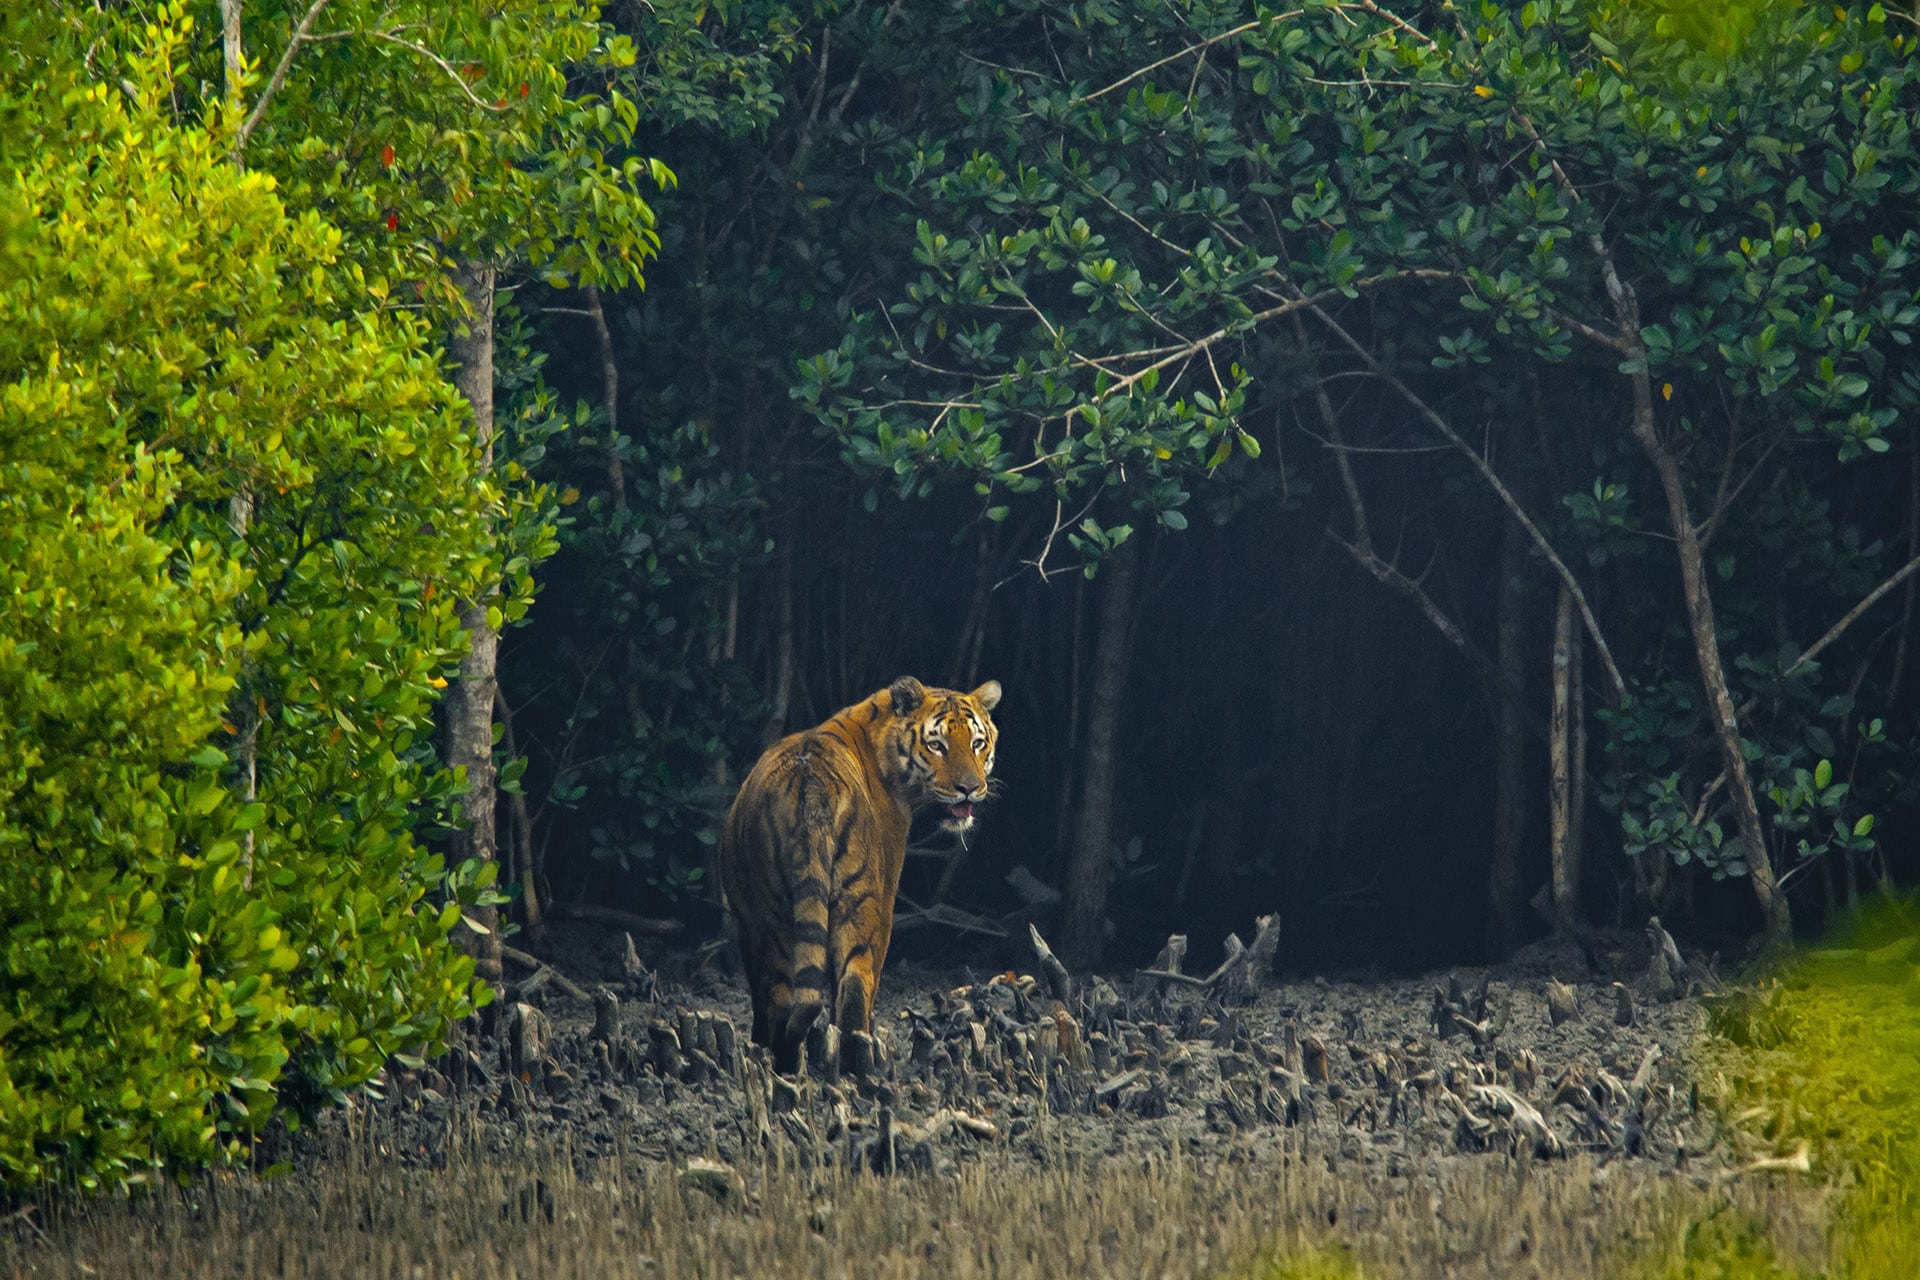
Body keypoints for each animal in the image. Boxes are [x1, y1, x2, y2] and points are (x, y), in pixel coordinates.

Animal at [721, 675, 1006, 1074]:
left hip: (771, 913)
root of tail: (809, 785)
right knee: (855, 989)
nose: (969, 788)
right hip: (862, 903)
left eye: (978, 743)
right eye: (937, 745)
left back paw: (783, 1065)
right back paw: (863, 1068)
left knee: (778, 1001)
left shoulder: (744, 920)